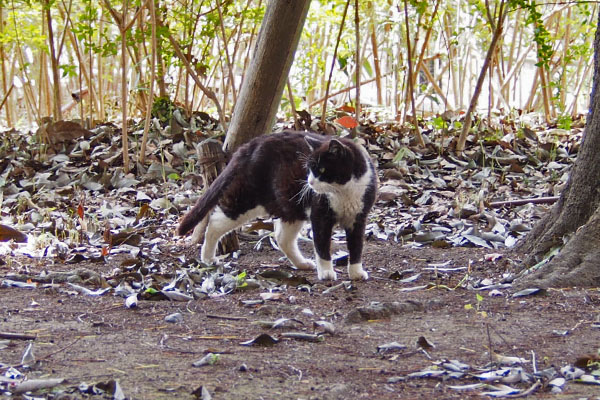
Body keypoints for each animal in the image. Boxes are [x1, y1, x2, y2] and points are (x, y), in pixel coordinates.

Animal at [176, 130, 378, 280]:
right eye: (309, 169)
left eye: (321, 169)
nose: (310, 182)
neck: (344, 191)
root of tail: (250, 144)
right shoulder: (320, 215)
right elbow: (322, 246)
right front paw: (327, 272)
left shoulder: (359, 217)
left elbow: (357, 245)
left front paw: (356, 272)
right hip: (246, 199)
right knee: (215, 222)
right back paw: (208, 258)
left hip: (291, 206)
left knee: (282, 238)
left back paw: (302, 263)